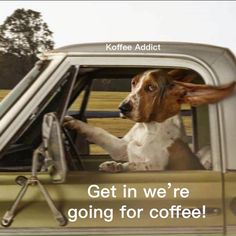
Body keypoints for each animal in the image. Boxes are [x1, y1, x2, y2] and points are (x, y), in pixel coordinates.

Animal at [62, 69, 234, 172]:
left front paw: (116, 167)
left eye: (151, 88)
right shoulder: (122, 147)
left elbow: (134, 165)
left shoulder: (156, 166)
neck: (148, 130)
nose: (122, 107)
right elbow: (99, 132)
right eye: (133, 83)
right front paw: (72, 122)